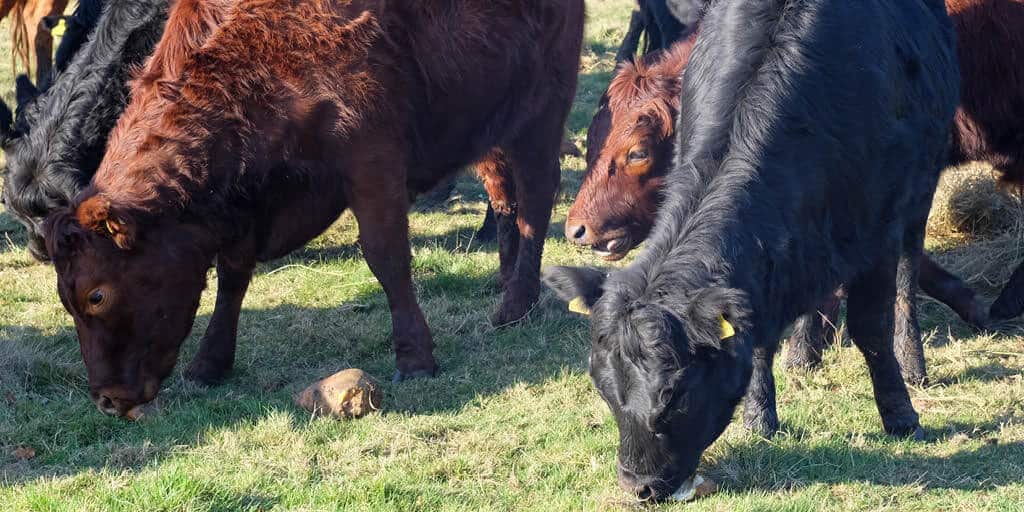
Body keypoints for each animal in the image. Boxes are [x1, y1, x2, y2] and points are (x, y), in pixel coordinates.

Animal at [43, 0, 583, 418]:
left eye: (96, 294)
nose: (107, 401)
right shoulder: (249, 204)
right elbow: (232, 277)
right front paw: (210, 364)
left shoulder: (372, 160)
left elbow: (386, 257)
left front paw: (415, 359)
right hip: (488, 129)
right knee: (505, 197)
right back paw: (507, 283)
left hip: (541, 110)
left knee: (536, 200)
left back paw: (516, 304)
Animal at [545, 0, 958, 501]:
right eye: (605, 389)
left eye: (676, 395)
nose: (638, 485)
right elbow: (758, 338)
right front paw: (761, 416)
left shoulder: (879, 226)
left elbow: (871, 328)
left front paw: (900, 414)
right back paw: (805, 351)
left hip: (920, 187)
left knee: (907, 271)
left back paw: (910, 359)